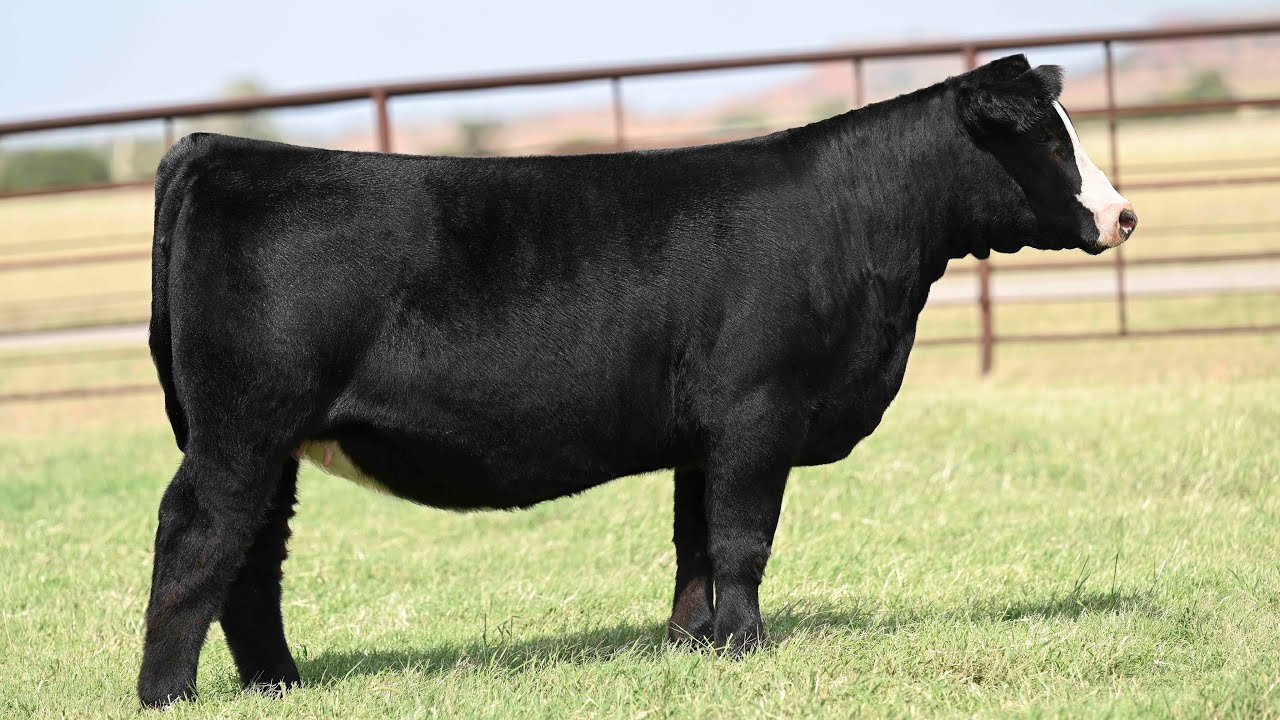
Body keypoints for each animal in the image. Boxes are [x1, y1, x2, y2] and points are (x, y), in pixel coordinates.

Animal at [137, 54, 1136, 706]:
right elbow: (742, 539)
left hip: (268, 439)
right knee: (198, 536)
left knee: (253, 554)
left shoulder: (704, 435)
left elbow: (694, 544)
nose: (1124, 214)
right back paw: (167, 692)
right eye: (1050, 143)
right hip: (242, 427)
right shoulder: (759, 412)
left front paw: (691, 647)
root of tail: (221, 149)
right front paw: (746, 648)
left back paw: (278, 684)